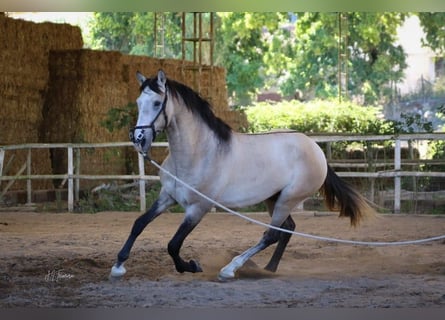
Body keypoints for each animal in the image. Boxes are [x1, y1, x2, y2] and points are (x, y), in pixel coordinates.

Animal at [109, 69, 372, 280]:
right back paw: (268, 269)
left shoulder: (198, 208)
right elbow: (139, 224)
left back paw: (230, 270)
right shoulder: (168, 197)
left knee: (272, 234)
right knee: (287, 229)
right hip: (274, 198)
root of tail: (316, 149)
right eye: (138, 102)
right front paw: (118, 266)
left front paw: (192, 266)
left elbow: (173, 245)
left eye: (156, 103)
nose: (138, 138)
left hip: (288, 199)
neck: (198, 153)